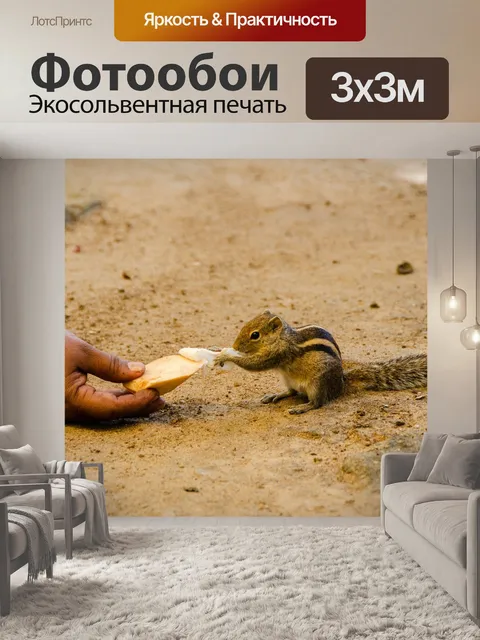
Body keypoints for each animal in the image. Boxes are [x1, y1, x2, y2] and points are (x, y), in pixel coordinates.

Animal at [213, 310, 427, 415]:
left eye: (255, 335)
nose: (235, 345)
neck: (283, 337)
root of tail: (342, 381)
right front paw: (219, 349)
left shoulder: (280, 353)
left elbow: (257, 364)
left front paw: (225, 355)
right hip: (289, 379)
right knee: (292, 392)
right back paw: (276, 395)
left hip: (318, 383)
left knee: (318, 402)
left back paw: (302, 407)